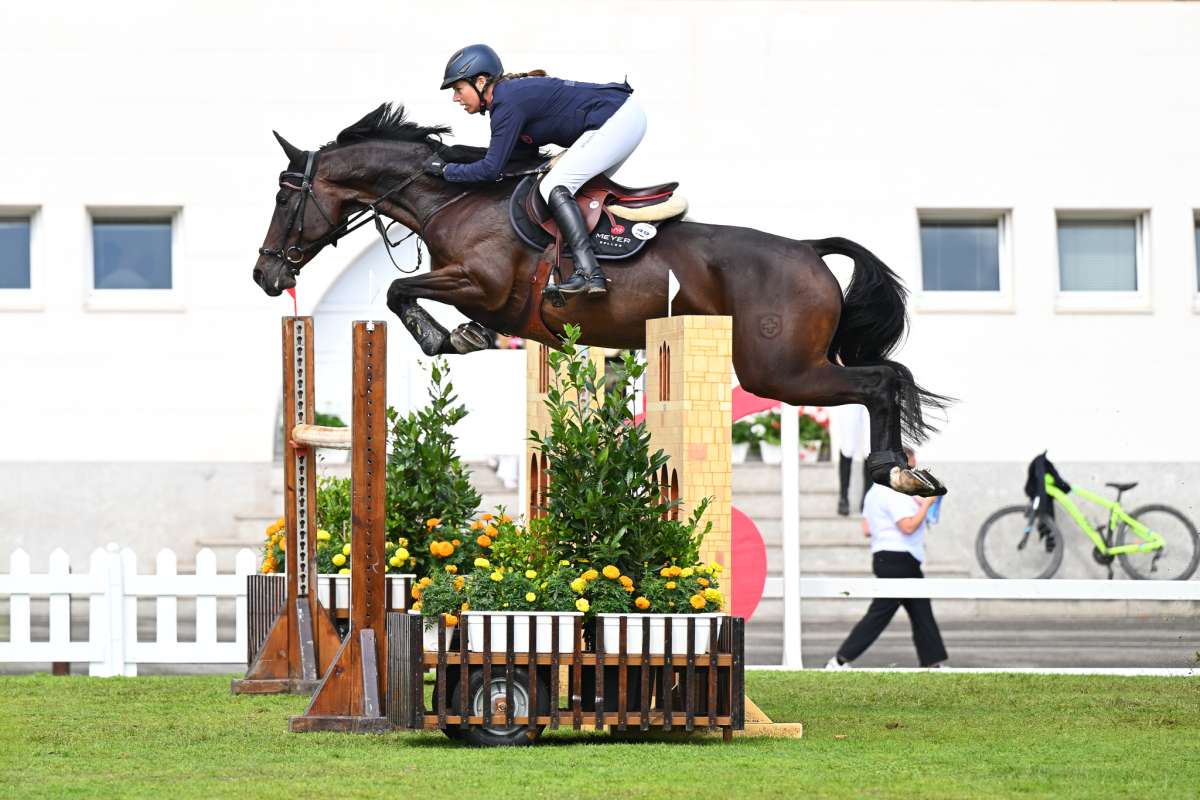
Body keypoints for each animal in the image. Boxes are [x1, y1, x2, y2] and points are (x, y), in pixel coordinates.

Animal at [250, 104, 945, 496]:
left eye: (285, 196)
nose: (265, 275)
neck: (454, 198)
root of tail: (807, 249)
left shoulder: (481, 283)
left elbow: (401, 289)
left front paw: (439, 336)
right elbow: (425, 300)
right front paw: (465, 336)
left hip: (779, 371)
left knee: (879, 383)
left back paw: (895, 471)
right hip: (790, 367)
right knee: (888, 374)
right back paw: (907, 472)